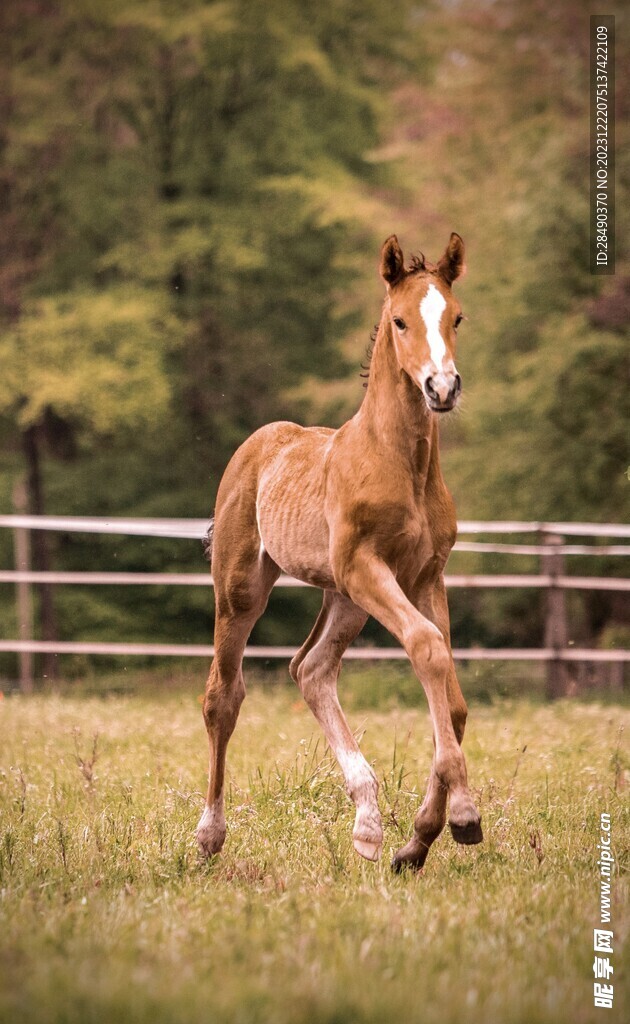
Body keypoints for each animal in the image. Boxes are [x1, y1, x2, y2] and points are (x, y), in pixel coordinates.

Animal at [196, 234, 483, 872]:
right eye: (399, 321)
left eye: (456, 317)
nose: (442, 388)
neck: (401, 462)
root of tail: (258, 442)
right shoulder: (365, 568)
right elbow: (427, 648)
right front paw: (461, 815)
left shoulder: (426, 576)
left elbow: (450, 700)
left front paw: (417, 840)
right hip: (245, 588)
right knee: (223, 696)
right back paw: (208, 836)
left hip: (344, 601)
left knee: (311, 669)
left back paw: (369, 824)